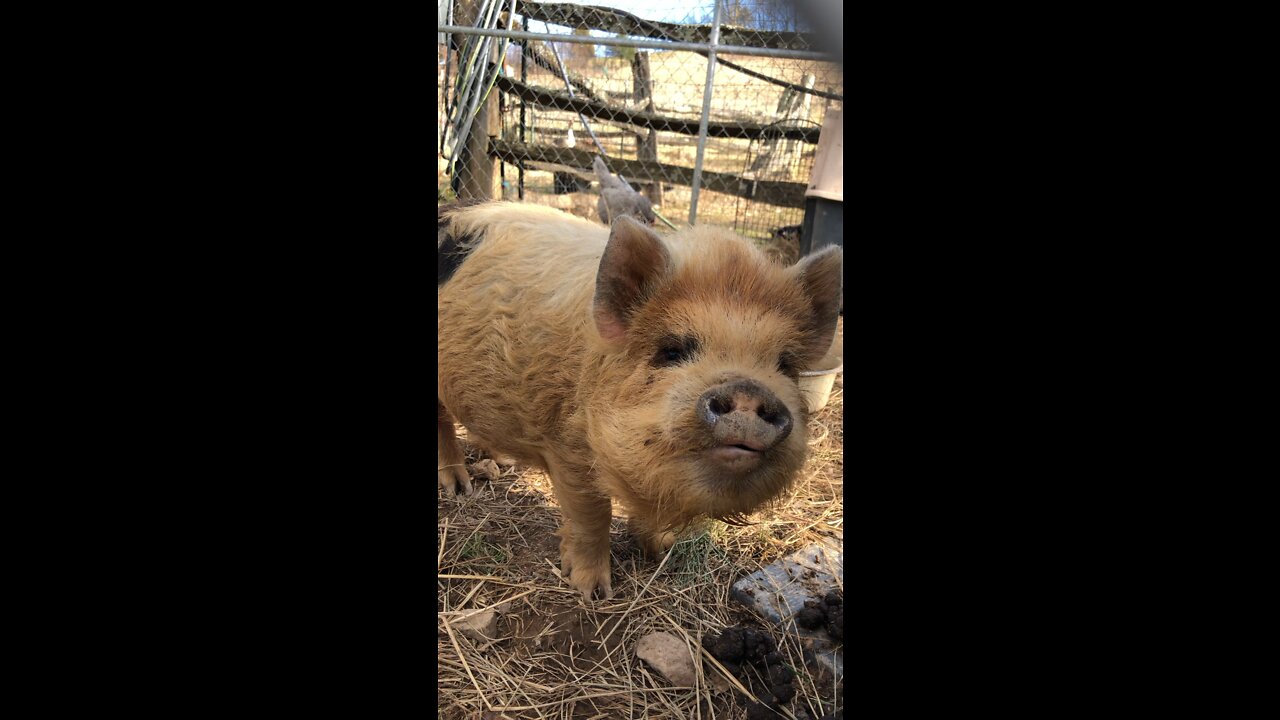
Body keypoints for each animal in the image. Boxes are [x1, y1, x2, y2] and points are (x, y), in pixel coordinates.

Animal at [435, 199, 844, 594]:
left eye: (785, 364)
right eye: (672, 350)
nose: (748, 389)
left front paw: (662, 550)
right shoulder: (566, 447)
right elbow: (592, 515)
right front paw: (593, 592)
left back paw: (501, 461)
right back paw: (460, 489)